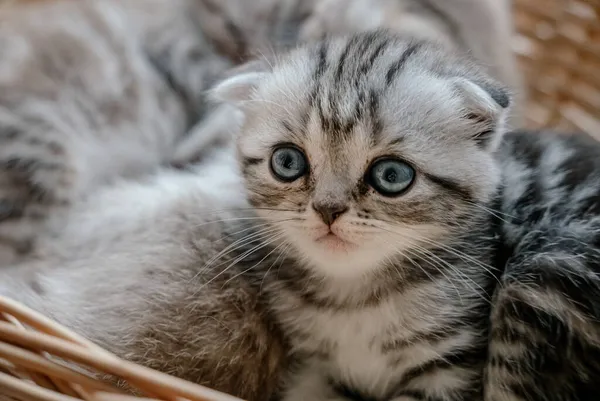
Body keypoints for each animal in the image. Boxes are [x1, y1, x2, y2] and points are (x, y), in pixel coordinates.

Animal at [2, 30, 596, 400]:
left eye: (392, 176)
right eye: (288, 163)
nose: (328, 210)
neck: (354, 299)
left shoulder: (451, 366)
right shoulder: (313, 367)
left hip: (542, 273)